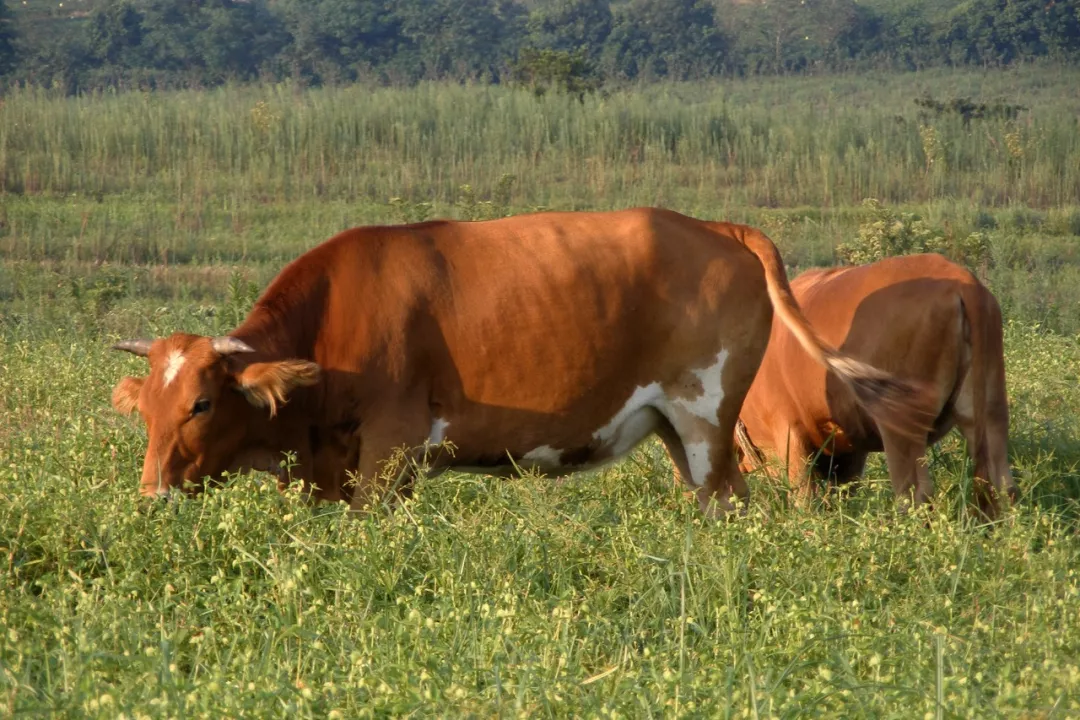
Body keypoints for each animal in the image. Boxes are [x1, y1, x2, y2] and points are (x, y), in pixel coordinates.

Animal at [113, 208, 933, 518]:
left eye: (202, 403)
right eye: (148, 409)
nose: (151, 494)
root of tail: (715, 226)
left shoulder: (391, 452)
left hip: (706, 418)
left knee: (726, 499)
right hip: (676, 426)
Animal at [738, 252, 1015, 518]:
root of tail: (963, 280)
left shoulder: (788, 433)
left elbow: (804, 498)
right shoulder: (850, 449)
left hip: (900, 422)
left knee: (915, 494)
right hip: (990, 409)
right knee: (1001, 484)